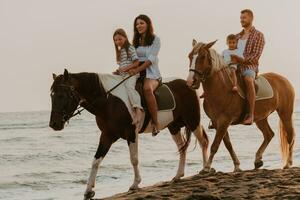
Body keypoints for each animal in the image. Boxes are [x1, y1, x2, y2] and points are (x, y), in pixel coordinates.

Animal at [49, 69, 209, 199]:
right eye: (52, 96)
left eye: (63, 95)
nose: (54, 124)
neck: (109, 102)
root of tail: (187, 84)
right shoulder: (107, 135)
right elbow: (95, 161)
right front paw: (88, 191)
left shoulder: (131, 132)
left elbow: (134, 159)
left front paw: (135, 184)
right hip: (174, 126)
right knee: (182, 147)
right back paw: (178, 176)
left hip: (192, 120)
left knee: (203, 141)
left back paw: (205, 169)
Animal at [185, 39, 296, 173]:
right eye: (190, 56)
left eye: (202, 57)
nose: (191, 81)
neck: (221, 88)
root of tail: (285, 80)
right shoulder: (217, 123)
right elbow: (228, 144)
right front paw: (237, 165)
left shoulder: (224, 121)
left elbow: (215, 145)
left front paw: (207, 167)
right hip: (261, 118)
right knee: (269, 134)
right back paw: (258, 160)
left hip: (285, 113)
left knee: (290, 136)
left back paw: (288, 163)